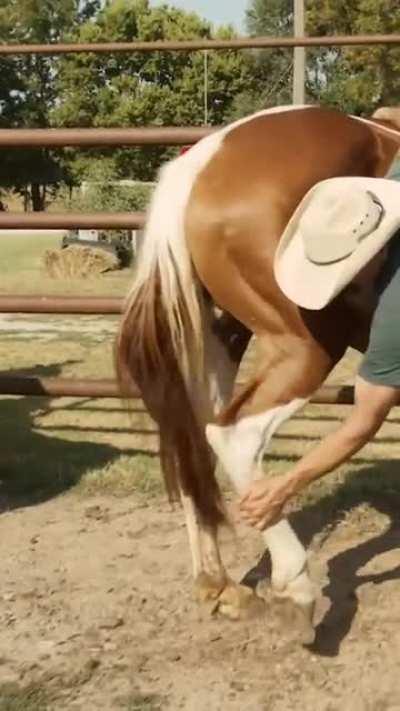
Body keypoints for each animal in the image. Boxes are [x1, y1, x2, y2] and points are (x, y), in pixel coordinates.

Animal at [116, 104, 400, 642]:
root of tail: (200, 165)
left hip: (220, 342)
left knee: (197, 440)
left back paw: (219, 584)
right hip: (306, 345)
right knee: (234, 435)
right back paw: (294, 589)